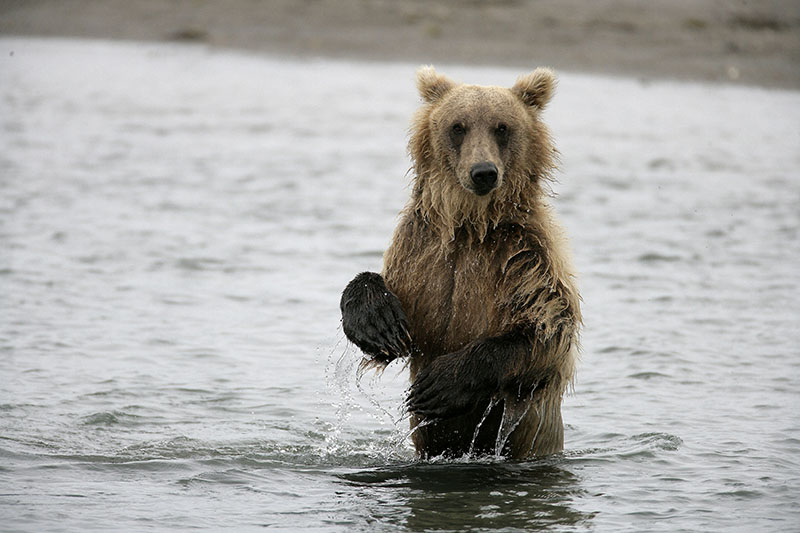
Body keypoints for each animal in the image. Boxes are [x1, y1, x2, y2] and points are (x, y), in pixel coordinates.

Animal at [340, 66, 581, 460]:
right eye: (458, 126)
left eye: (502, 127)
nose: (483, 172)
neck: (471, 225)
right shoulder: (424, 253)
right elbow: (390, 301)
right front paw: (379, 323)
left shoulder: (524, 258)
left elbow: (546, 333)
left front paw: (441, 383)